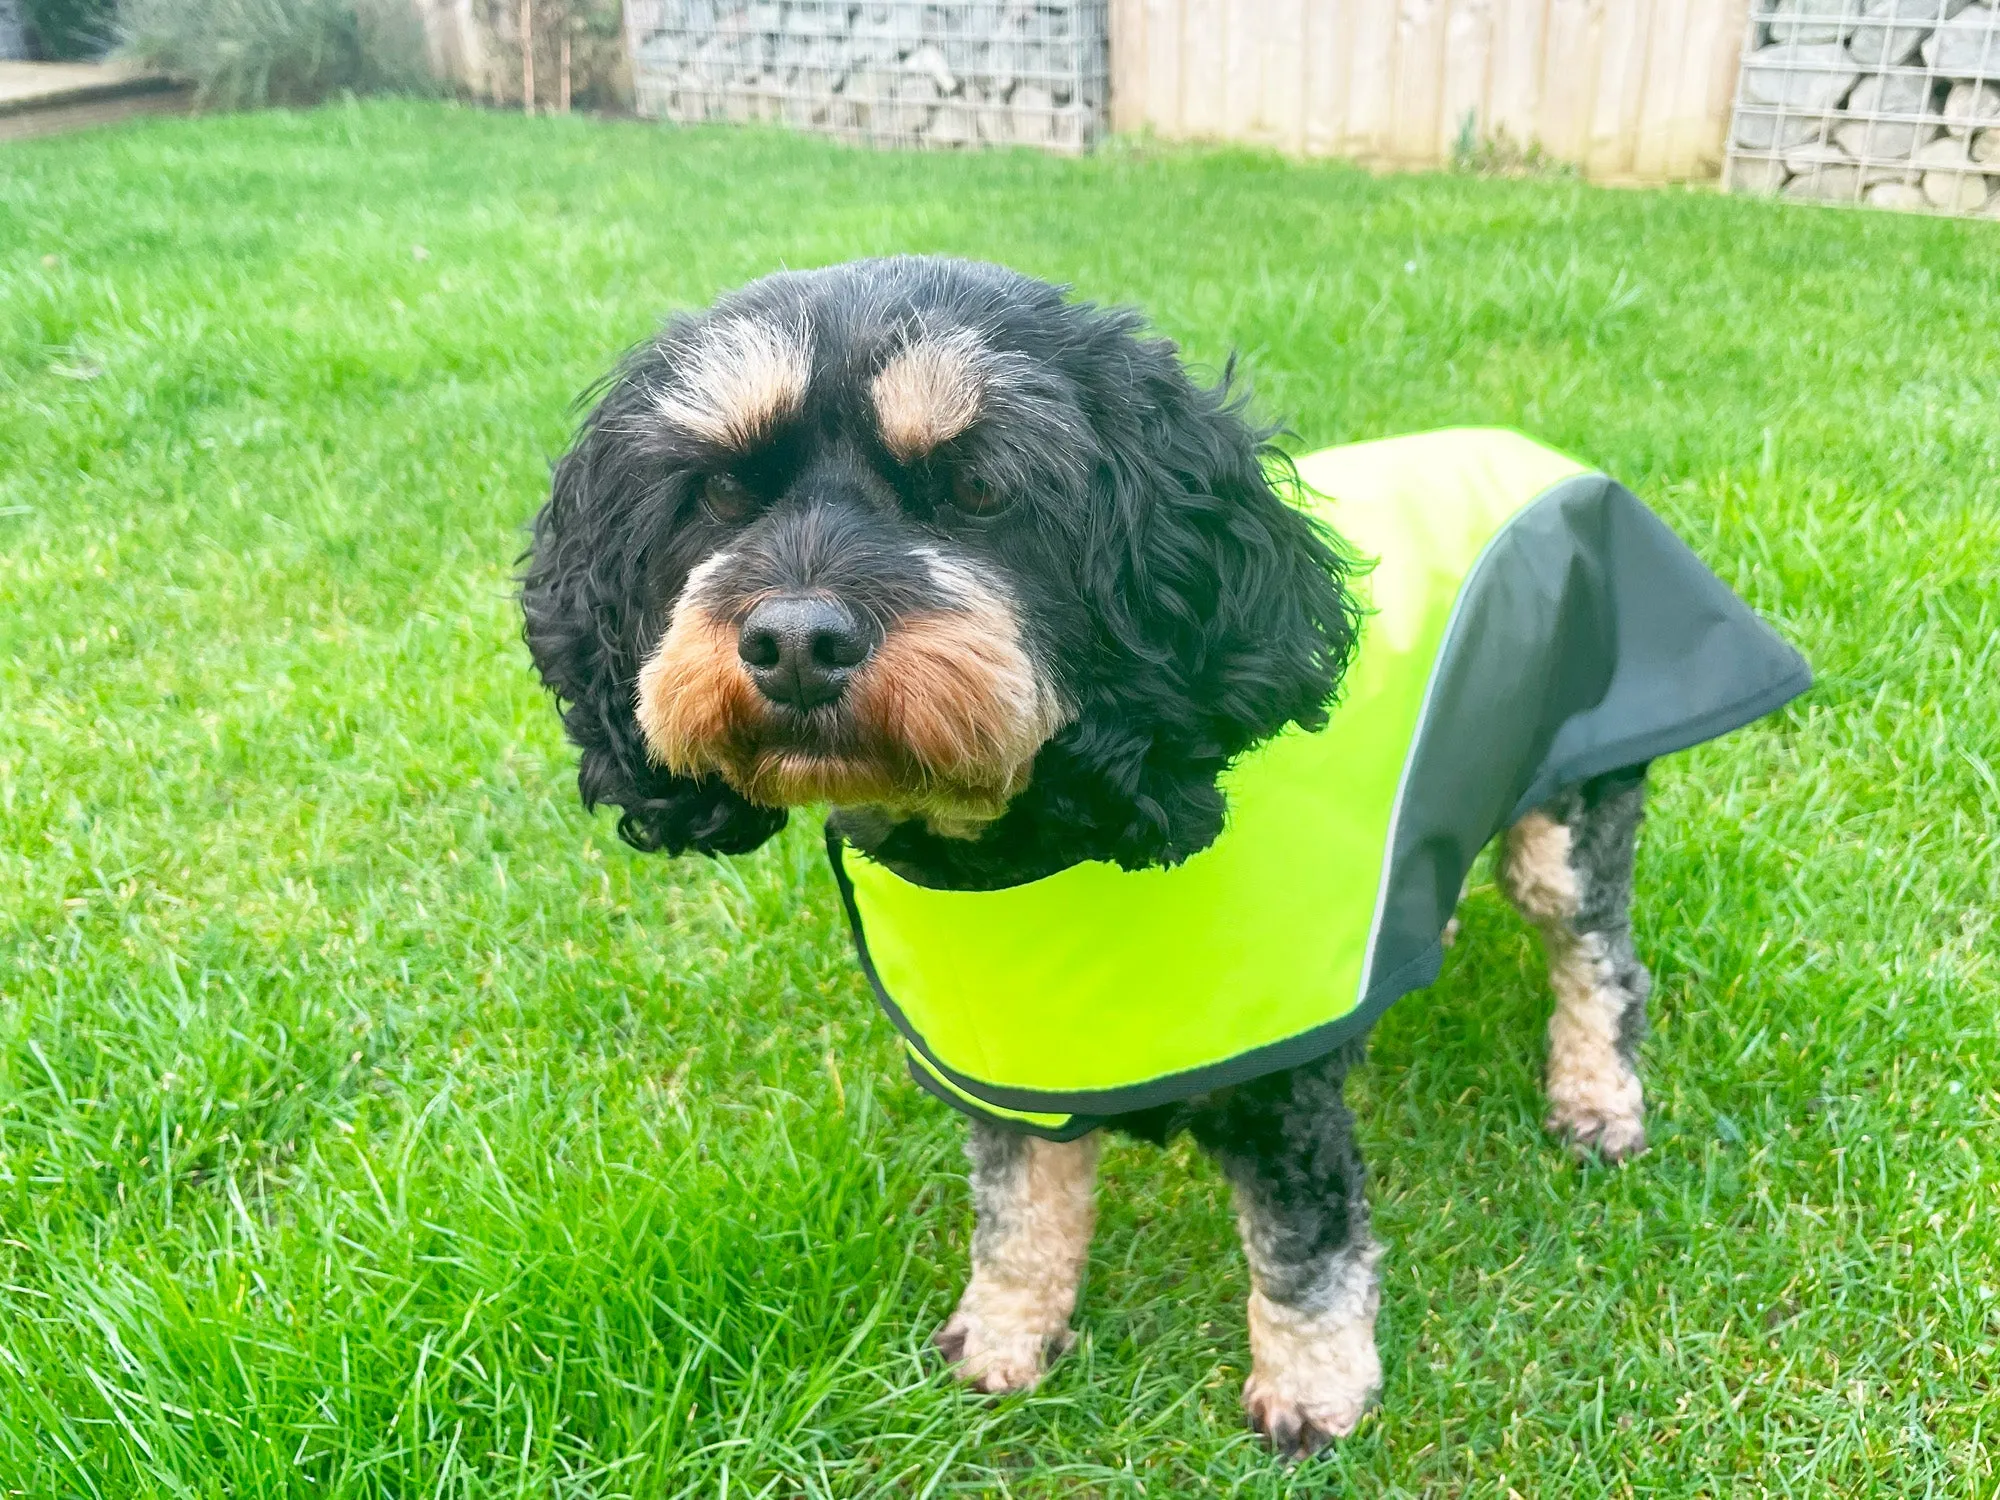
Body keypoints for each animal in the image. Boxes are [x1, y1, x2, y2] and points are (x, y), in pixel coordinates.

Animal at [520, 256, 1816, 1456]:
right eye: (717, 490)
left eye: (979, 488)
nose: (793, 641)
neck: (1021, 848)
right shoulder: (1012, 1056)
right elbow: (1017, 1212)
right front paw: (1007, 1332)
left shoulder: (1278, 1094)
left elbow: (1303, 1251)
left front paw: (1312, 1388)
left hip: (1568, 814)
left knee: (1600, 964)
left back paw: (1595, 1099)